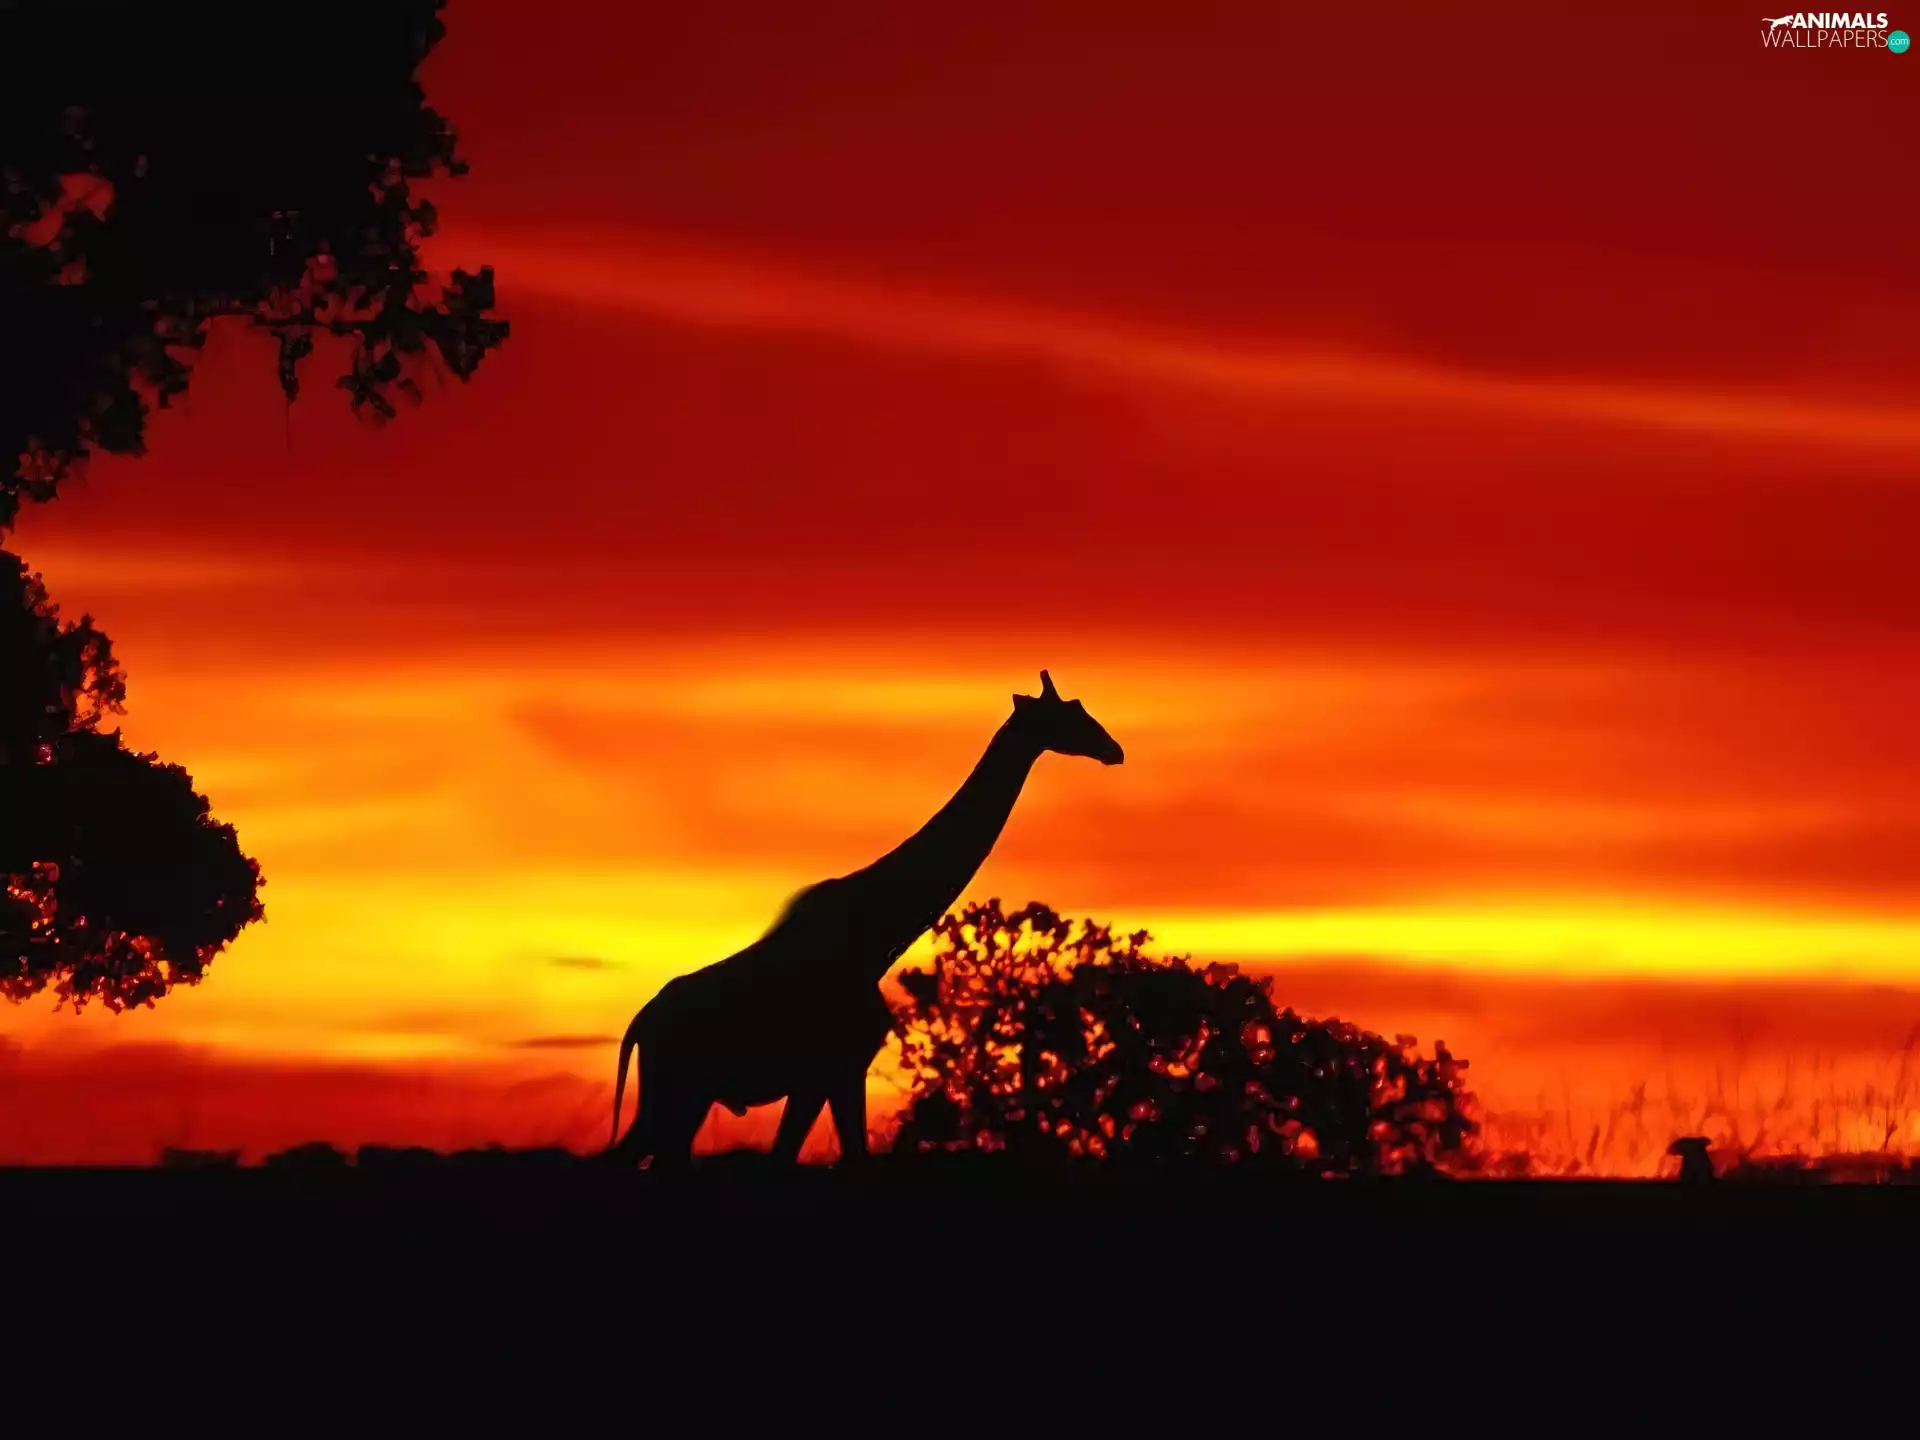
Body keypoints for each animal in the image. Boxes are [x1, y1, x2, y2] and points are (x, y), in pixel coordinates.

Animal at [606, 670, 1124, 1169]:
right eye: (1070, 714)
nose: (1113, 749)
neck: (877, 938)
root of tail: (641, 1022)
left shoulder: (835, 1074)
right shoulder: (829, 1069)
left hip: (687, 1097)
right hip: (676, 1091)